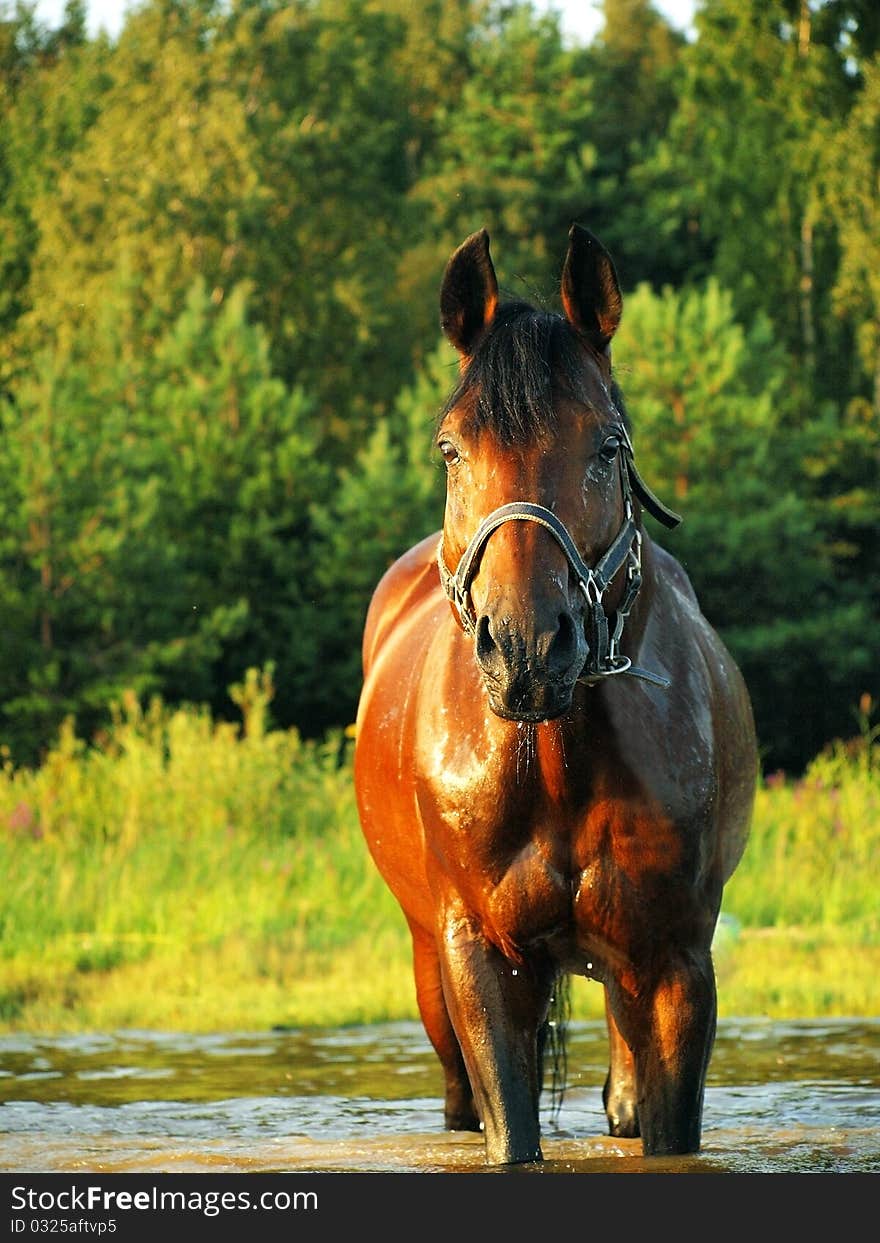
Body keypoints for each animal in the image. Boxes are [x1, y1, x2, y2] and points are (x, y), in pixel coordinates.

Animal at [352, 226, 755, 1163]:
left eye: (608, 445)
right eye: (451, 448)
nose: (528, 648)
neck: (558, 760)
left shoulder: (677, 964)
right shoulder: (480, 957)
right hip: (431, 970)